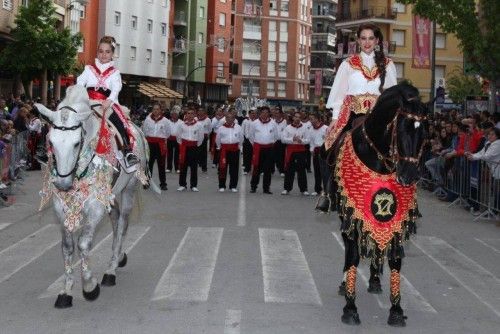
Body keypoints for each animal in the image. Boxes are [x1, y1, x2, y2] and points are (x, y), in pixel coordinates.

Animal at [35, 85, 150, 308]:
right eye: (51, 141)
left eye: (76, 143)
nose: (63, 184)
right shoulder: (61, 206)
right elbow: (68, 247)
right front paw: (66, 291)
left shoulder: (95, 206)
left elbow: (83, 243)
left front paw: (89, 286)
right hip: (111, 195)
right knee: (115, 219)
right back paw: (118, 257)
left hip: (129, 188)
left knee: (121, 224)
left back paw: (111, 270)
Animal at [328, 83, 430, 326]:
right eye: (401, 130)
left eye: (424, 133)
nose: (408, 176)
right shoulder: (352, 211)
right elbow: (353, 254)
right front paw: (350, 307)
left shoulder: (398, 217)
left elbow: (395, 258)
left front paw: (396, 310)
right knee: (350, 246)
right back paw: (345, 282)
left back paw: (374, 279)